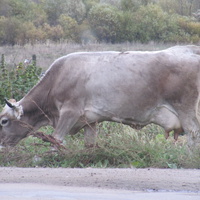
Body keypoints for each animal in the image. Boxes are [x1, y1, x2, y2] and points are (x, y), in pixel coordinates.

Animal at [0, 45, 200, 148]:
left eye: (4, 121)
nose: (1, 145)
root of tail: (189, 49)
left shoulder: (70, 112)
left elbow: (56, 139)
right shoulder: (90, 120)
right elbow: (90, 144)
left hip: (185, 108)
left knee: (193, 132)